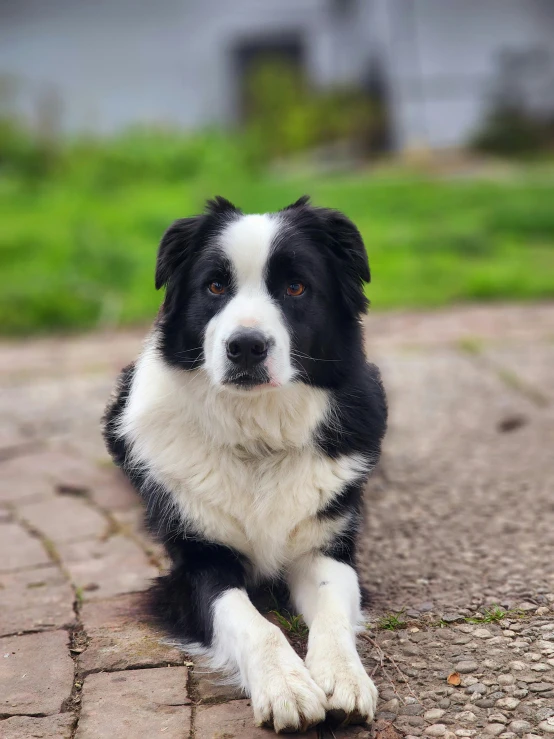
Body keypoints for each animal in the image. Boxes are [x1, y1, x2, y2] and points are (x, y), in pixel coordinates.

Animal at [102, 197, 384, 736]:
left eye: (296, 288)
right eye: (215, 286)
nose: (246, 347)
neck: (256, 437)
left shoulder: (325, 546)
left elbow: (333, 611)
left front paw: (342, 677)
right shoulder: (196, 562)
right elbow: (252, 621)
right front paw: (287, 686)